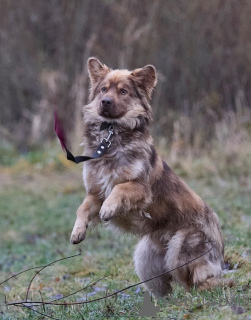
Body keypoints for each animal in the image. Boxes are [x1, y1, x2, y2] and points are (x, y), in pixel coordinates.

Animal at [69, 58, 232, 298]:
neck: (111, 137)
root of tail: (218, 236)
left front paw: (108, 209)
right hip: (144, 259)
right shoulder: (95, 192)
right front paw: (78, 231)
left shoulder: (141, 188)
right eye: (103, 90)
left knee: (195, 282)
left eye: (123, 91)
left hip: (180, 250)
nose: (105, 102)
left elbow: (119, 188)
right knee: (166, 287)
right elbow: (82, 209)